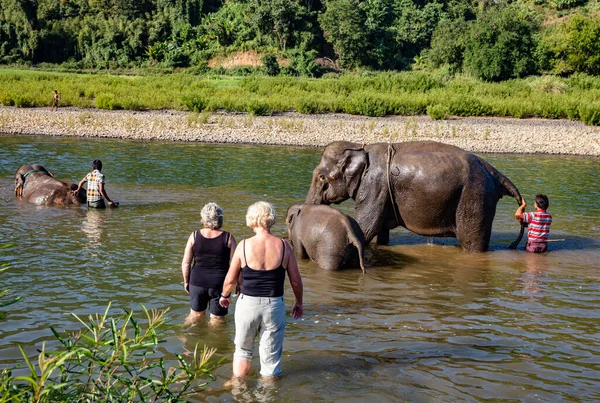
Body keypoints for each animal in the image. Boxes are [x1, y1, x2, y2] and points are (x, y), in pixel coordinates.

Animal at [308, 140, 524, 251]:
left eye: (321, 177)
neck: (361, 148)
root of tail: (494, 172)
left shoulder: (374, 185)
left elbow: (365, 228)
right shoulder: (381, 192)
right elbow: (378, 232)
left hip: (475, 197)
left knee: (472, 243)